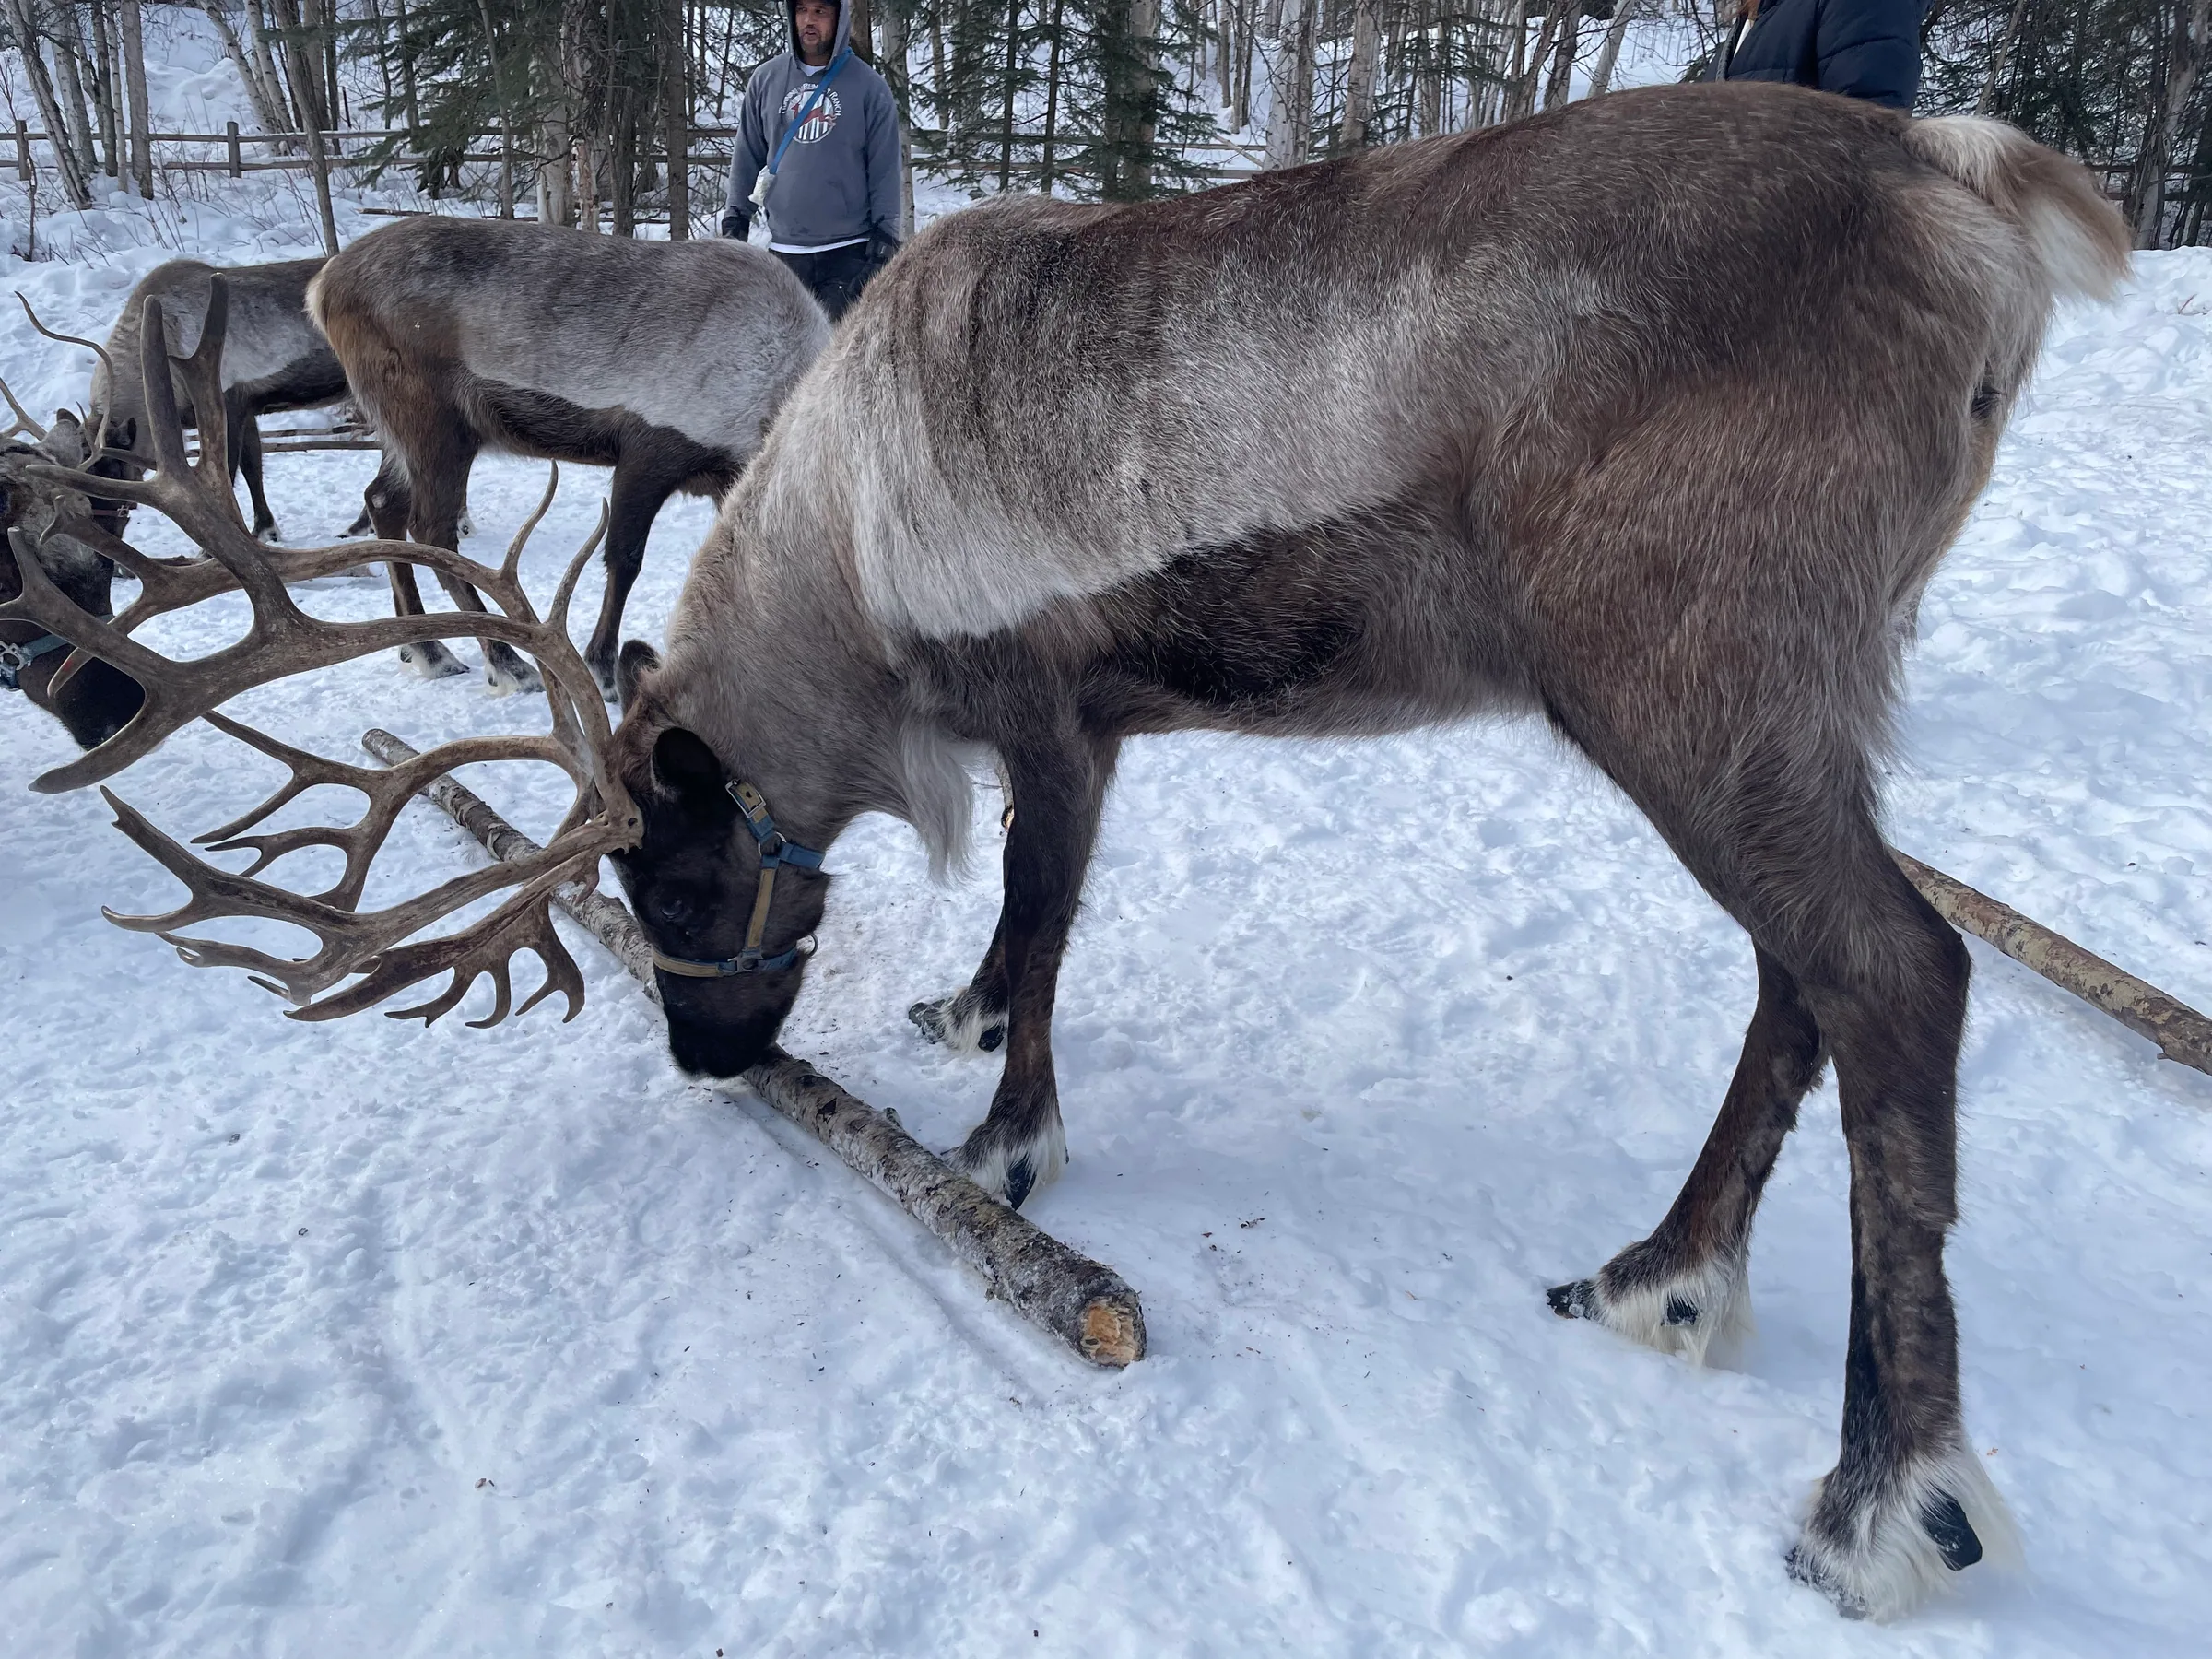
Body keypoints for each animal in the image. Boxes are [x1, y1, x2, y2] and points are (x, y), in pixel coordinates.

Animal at [304, 215, 832, 698]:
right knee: (430, 529)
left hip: (409, 434)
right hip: (434, 426)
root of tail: (322, 284)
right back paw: (507, 663)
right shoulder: (650, 452)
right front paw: (602, 667)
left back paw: (425, 647)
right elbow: (624, 560)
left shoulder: (727, 483)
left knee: (382, 503)